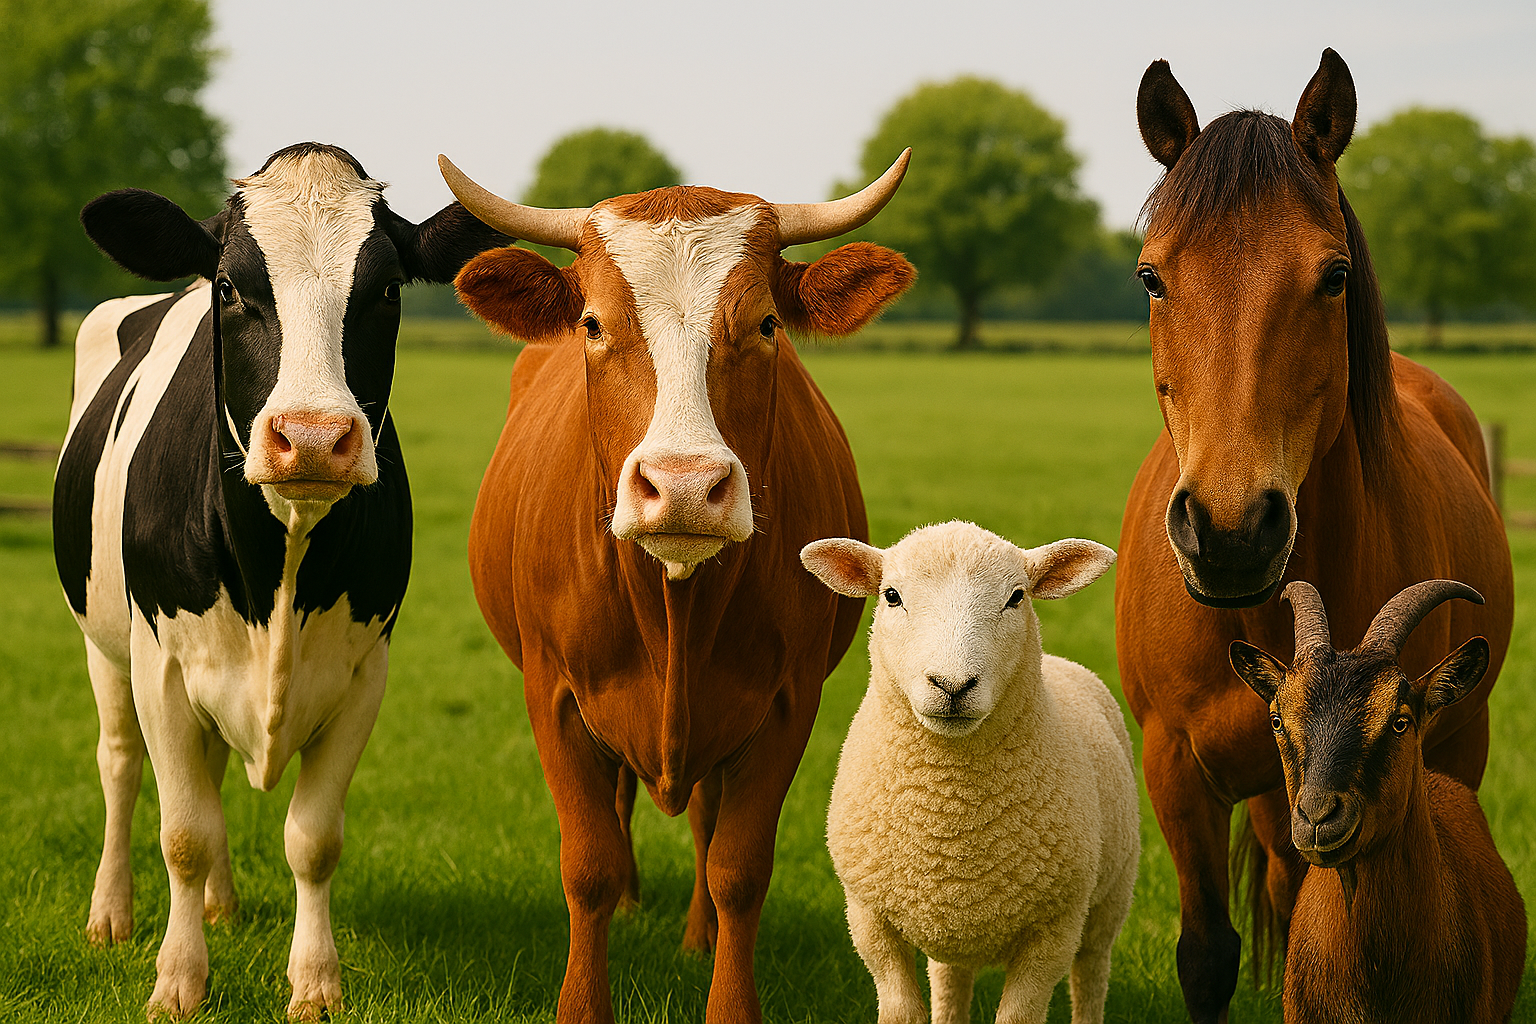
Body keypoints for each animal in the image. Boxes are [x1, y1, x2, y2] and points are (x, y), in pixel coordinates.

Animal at [54, 142, 505, 1020]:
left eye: (388, 289)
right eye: (230, 287)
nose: (314, 437)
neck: (281, 574)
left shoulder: (364, 670)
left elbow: (312, 838)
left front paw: (315, 983)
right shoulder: (162, 663)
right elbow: (183, 833)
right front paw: (177, 981)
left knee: (212, 773)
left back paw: (223, 907)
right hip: (104, 646)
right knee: (120, 765)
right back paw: (111, 914)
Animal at [438, 151, 916, 1023]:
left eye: (765, 324)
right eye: (594, 323)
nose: (685, 485)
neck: (674, 604)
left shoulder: (786, 704)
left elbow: (738, 867)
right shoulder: (553, 695)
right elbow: (587, 863)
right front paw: (584, 1001)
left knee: (702, 817)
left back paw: (694, 934)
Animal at [801, 521, 1138, 1024]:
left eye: (1017, 596)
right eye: (891, 596)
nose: (952, 685)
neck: (951, 814)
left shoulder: (1055, 929)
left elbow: (1019, 1016)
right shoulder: (868, 918)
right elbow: (901, 1010)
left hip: (1110, 898)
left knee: (1091, 975)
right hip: (952, 923)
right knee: (950, 980)